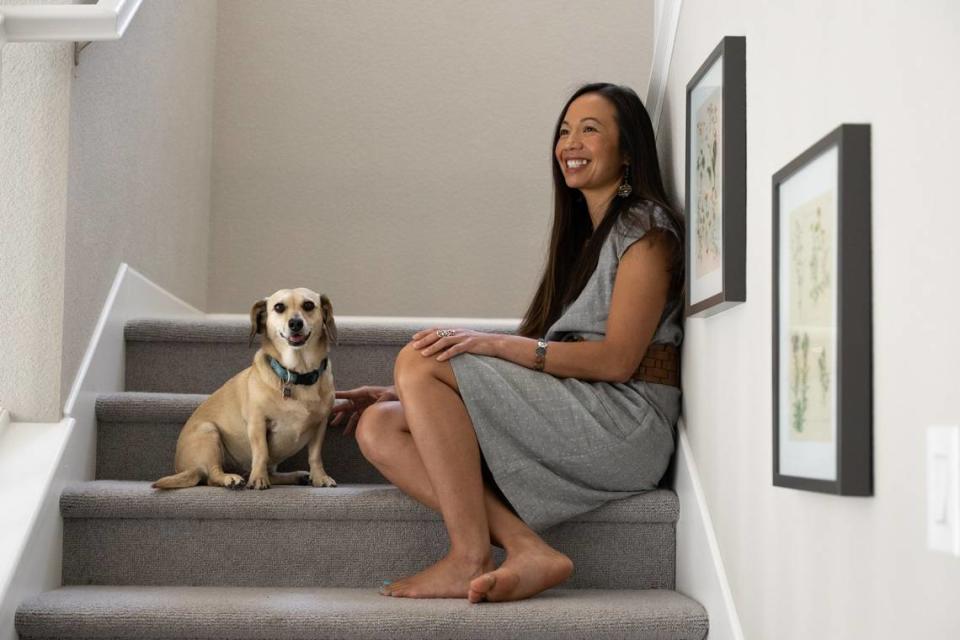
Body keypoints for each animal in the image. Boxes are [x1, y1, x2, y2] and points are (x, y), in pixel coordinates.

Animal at [153, 288, 338, 490]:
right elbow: (261, 453)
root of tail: (185, 468)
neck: (297, 374)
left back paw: (296, 476)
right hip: (209, 432)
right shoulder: (257, 423)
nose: (295, 323)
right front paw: (258, 479)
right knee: (212, 476)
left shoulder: (320, 425)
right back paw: (230, 478)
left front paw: (320, 477)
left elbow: (315, 456)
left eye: (309, 305)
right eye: (279, 307)